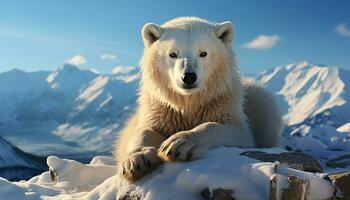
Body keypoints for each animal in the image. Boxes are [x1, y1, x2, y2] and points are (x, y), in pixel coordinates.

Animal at [115, 16, 284, 181]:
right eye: (173, 54)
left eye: (203, 53)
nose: (189, 77)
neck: (189, 102)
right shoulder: (161, 109)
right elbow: (143, 130)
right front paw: (138, 160)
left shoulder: (221, 104)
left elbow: (230, 129)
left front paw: (179, 144)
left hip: (258, 101)